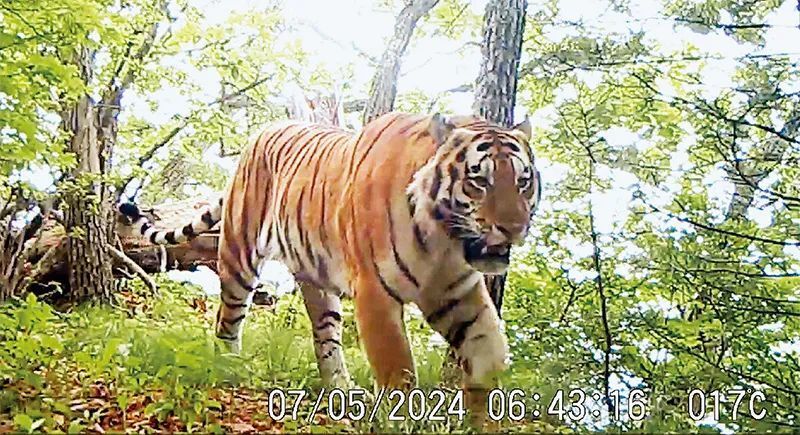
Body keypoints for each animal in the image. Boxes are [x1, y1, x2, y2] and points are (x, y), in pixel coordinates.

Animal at [117, 112, 542, 416]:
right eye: (479, 181)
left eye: (523, 181)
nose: (514, 228)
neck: (443, 241)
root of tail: (259, 134)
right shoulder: (375, 293)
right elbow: (399, 374)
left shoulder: (459, 293)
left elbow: (488, 357)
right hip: (239, 257)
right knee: (228, 319)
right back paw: (227, 367)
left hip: (317, 283)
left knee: (325, 339)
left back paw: (341, 390)